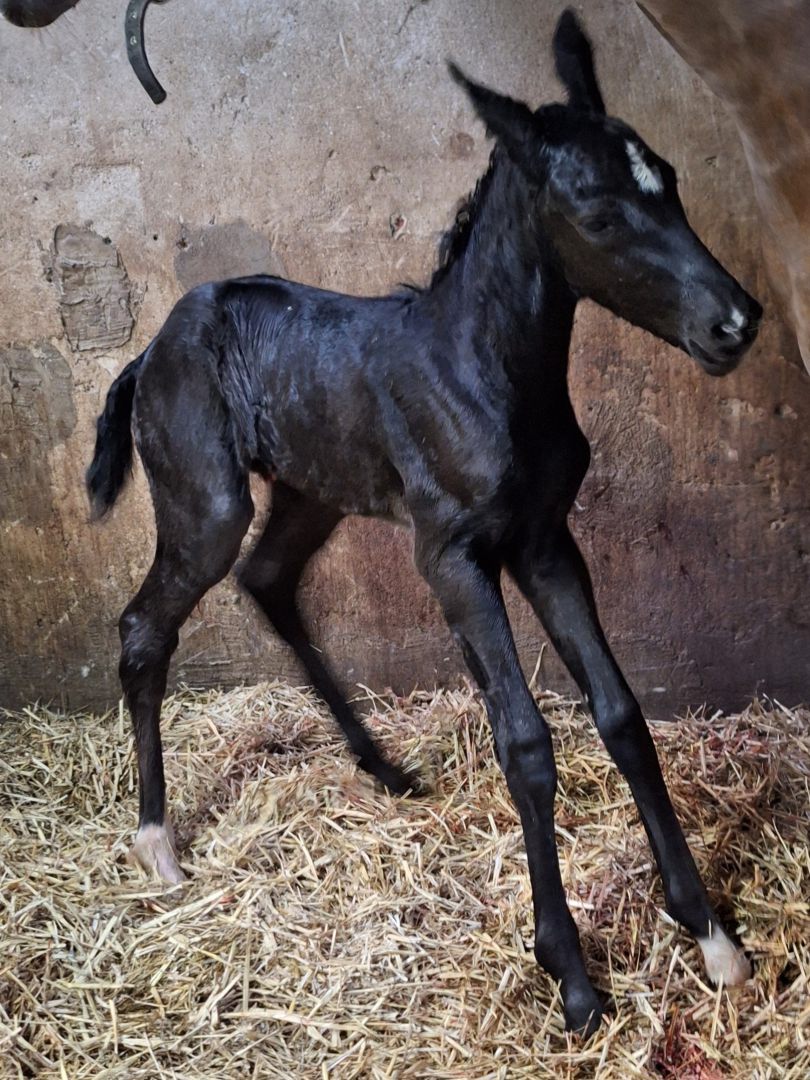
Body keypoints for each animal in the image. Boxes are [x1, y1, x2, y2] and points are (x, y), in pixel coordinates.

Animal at [87, 10, 761, 1034]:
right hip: (206, 503)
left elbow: (619, 711)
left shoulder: (546, 541)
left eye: (672, 181)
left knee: (268, 581)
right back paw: (157, 839)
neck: (487, 371)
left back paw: (385, 767)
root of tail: (147, 353)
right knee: (145, 624)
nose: (736, 322)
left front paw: (711, 934)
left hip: (313, 490)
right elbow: (524, 740)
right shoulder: (452, 555)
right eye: (599, 214)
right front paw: (570, 977)